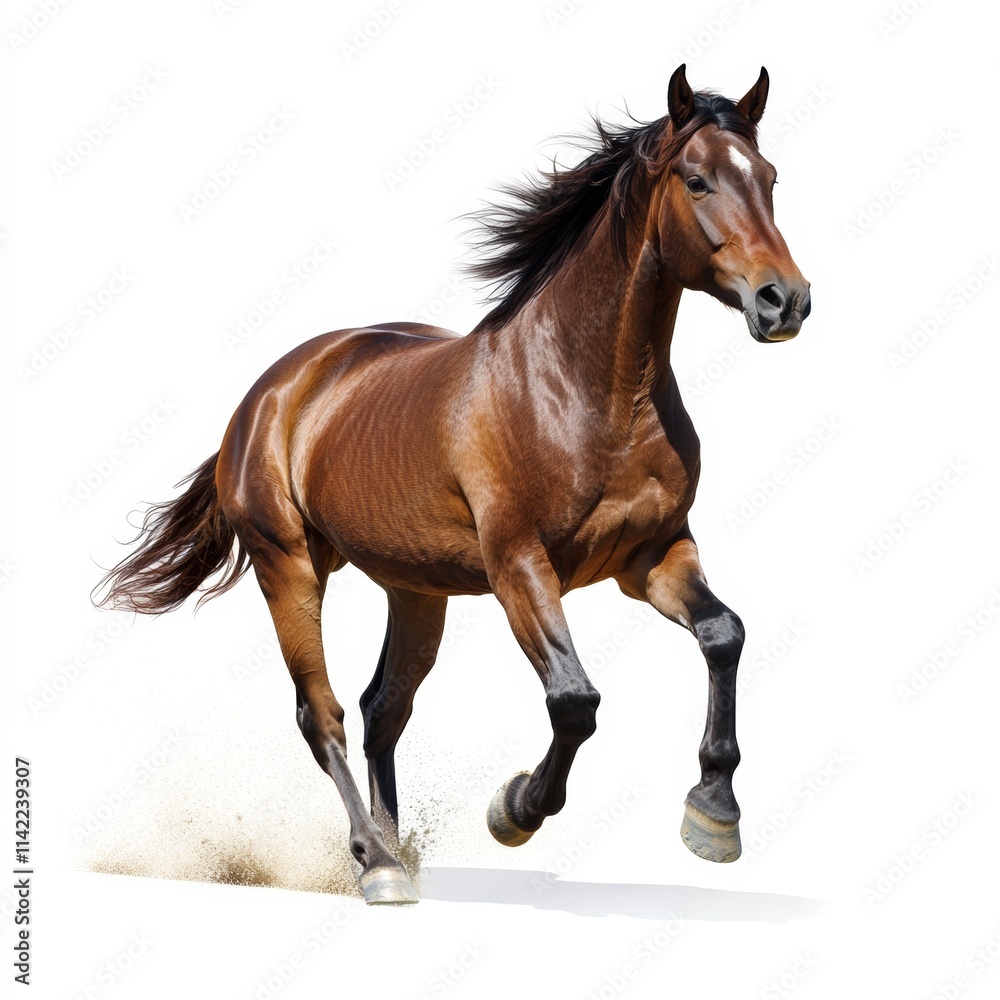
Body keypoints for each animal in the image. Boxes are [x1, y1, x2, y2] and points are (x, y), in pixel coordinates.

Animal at [95, 64, 811, 904]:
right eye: (697, 180)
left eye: (769, 178)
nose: (785, 300)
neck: (589, 391)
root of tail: (269, 393)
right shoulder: (519, 566)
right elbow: (575, 701)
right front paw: (517, 809)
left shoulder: (653, 557)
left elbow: (724, 634)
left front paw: (713, 813)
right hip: (289, 568)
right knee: (323, 714)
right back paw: (378, 863)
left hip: (416, 588)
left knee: (384, 708)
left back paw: (392, 852)